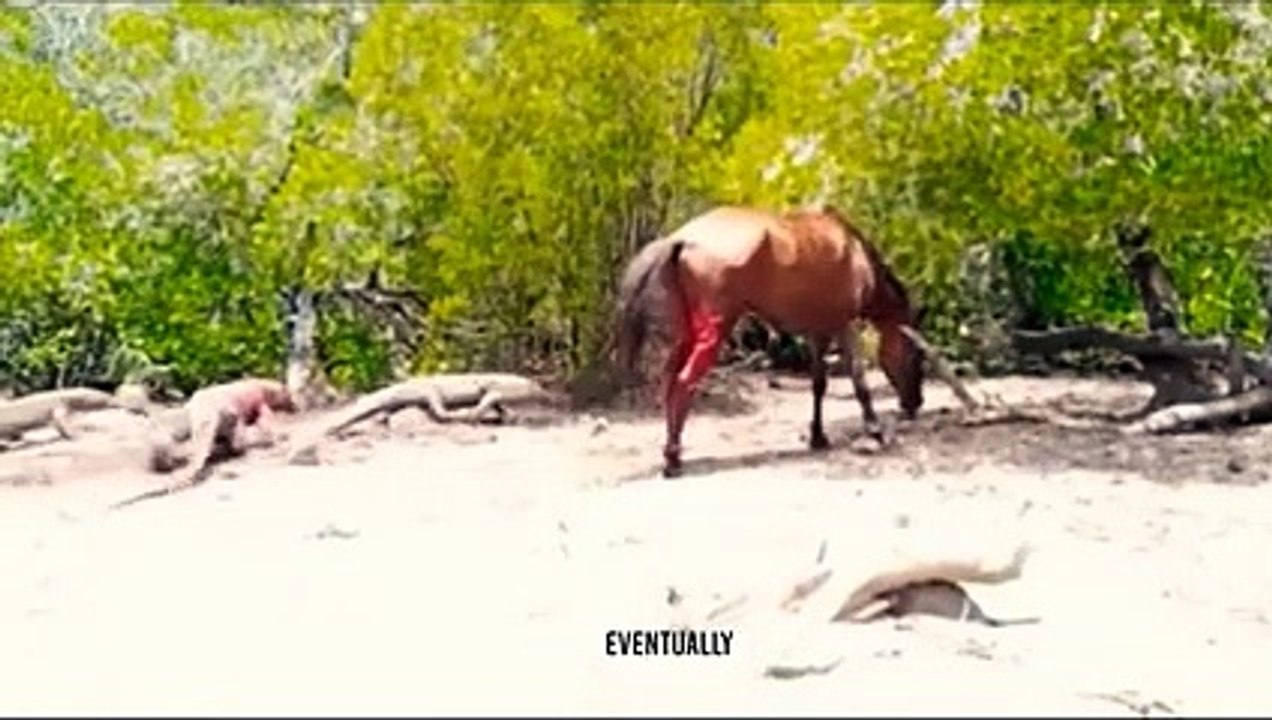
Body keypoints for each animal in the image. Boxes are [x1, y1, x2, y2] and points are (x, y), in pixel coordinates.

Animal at [615, 204, 926, 478]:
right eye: (917, 355)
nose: (915, 403)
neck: (855, 253)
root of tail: (682, 238)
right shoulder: (844, 326)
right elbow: (859, 380)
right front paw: (874, 430)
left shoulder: (818, 331)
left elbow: (818, 385)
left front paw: (818, 436)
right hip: (714, 331)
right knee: (683, 383)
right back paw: (673, 459)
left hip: (687, 333)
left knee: (669, 380)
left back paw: (671, 451)